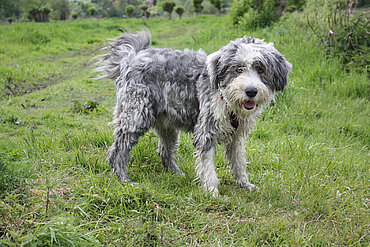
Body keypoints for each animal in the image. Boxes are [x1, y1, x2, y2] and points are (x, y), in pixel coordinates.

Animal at [95, 29, 292, 196]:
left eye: (261, 69)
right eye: (238, 69)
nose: (251, 91)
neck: (226, 99)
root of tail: (130, 58)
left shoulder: (236, 136)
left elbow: (238, 162)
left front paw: (244, 184)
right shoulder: (206, 130)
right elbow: (208, 166)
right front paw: (212, 191)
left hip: (166, 126)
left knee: (164, 151)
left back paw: (176, 173)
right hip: (135, 116)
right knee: (117, 152)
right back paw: (124, 179)